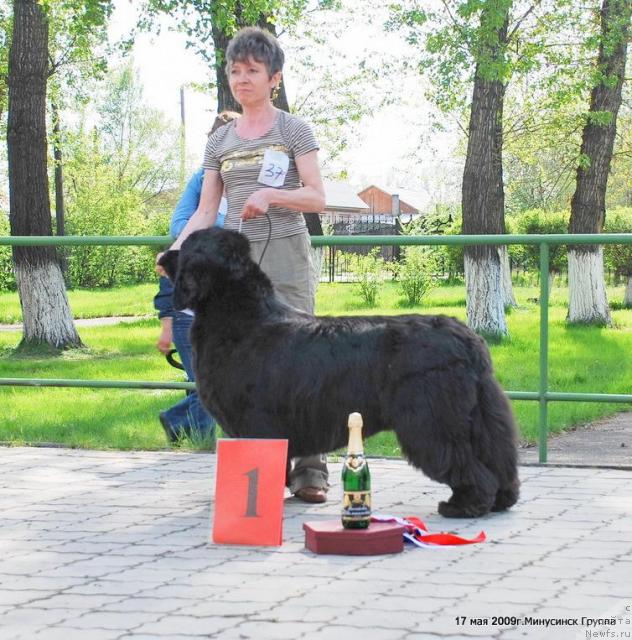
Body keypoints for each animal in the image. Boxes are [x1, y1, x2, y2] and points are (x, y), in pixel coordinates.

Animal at [160, 228, 520, 516]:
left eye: (188, 246)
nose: (164, 253)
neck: (242, 317)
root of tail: (468, 339)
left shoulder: (255, 423)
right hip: (479, 417)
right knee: (497, 457)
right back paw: (501, 499)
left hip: (432, 422)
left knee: (466, 463)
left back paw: (464, 505)